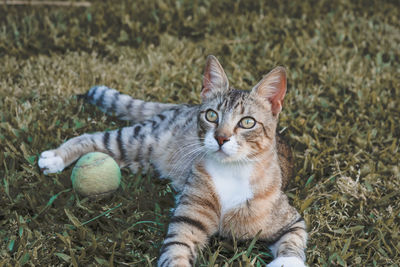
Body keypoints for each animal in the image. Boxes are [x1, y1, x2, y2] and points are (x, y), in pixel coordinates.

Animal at [38, 55, 306, 266]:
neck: (231, 171)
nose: (221, 138)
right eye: (212, 115)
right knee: (92, 138)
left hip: (139, 160)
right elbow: (177, 247)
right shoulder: (187, 220)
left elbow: (294, 238)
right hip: (139, 140)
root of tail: (183, 106)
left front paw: (287, 262)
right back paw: (56, 156)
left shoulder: (290, 219)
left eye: (248, 122)